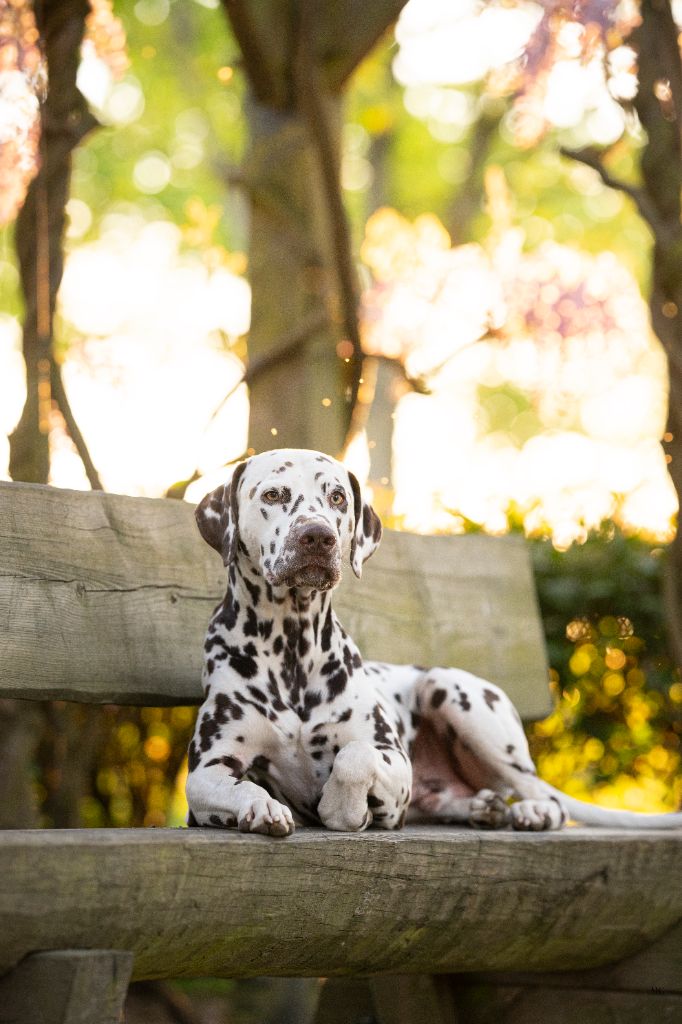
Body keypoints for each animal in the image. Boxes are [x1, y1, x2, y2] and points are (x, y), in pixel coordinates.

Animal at [184, 452, 679, 835]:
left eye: (337, 497)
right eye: (273, 495)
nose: (317, 536)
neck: (291, 648)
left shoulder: (393, 760)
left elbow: (355, 757)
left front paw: (341, 809)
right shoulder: (205, 773)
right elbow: (233, 784)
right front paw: (260, 805)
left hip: (456, 697)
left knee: (545, 797)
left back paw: (532, 810)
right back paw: (482, 806)